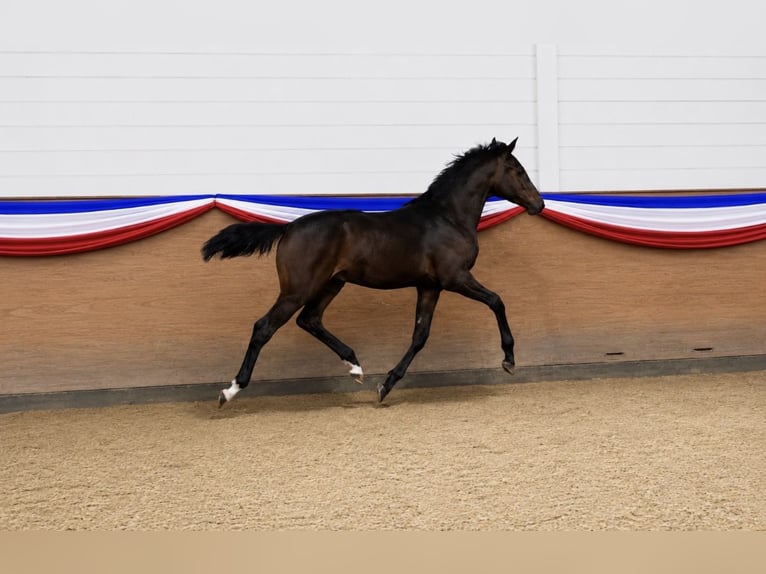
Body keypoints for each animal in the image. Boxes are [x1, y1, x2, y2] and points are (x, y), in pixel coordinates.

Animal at [202, 137, 544, 406]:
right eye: (518, 170)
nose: (538, 204)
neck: (447, 217)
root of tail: (287, 228)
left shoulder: (430, 286)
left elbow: (420, 336)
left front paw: (386, 385)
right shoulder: (455, 278)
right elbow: (497, 301)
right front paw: (509, 359)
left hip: (331, 284)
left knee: (310, 320)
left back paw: (355, 366)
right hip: (298, 289)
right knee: (265, 327)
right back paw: (230, 390)